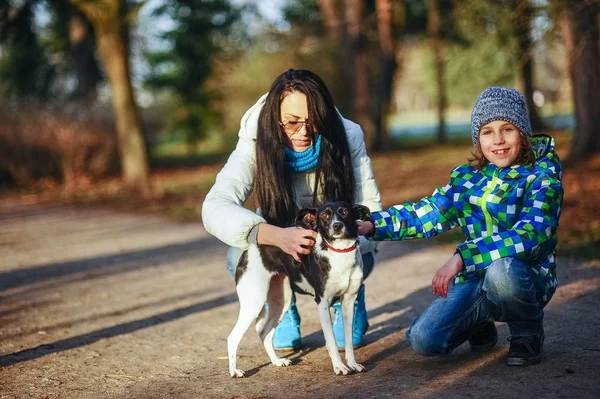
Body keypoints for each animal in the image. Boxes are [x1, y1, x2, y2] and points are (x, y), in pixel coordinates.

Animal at [229, 200, 372, 378]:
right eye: (324, 215)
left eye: (345, 211)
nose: (337, 226)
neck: (340, 252)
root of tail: (249, 250)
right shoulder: (322, 303)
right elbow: (331, 341)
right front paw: (339, 367)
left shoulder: (348, 301)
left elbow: (349, 341)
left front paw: (353, 364)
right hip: (254, 303)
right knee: (233, 337)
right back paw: (235, 371)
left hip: (281, 302)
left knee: (265, 333)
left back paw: (277, 361)